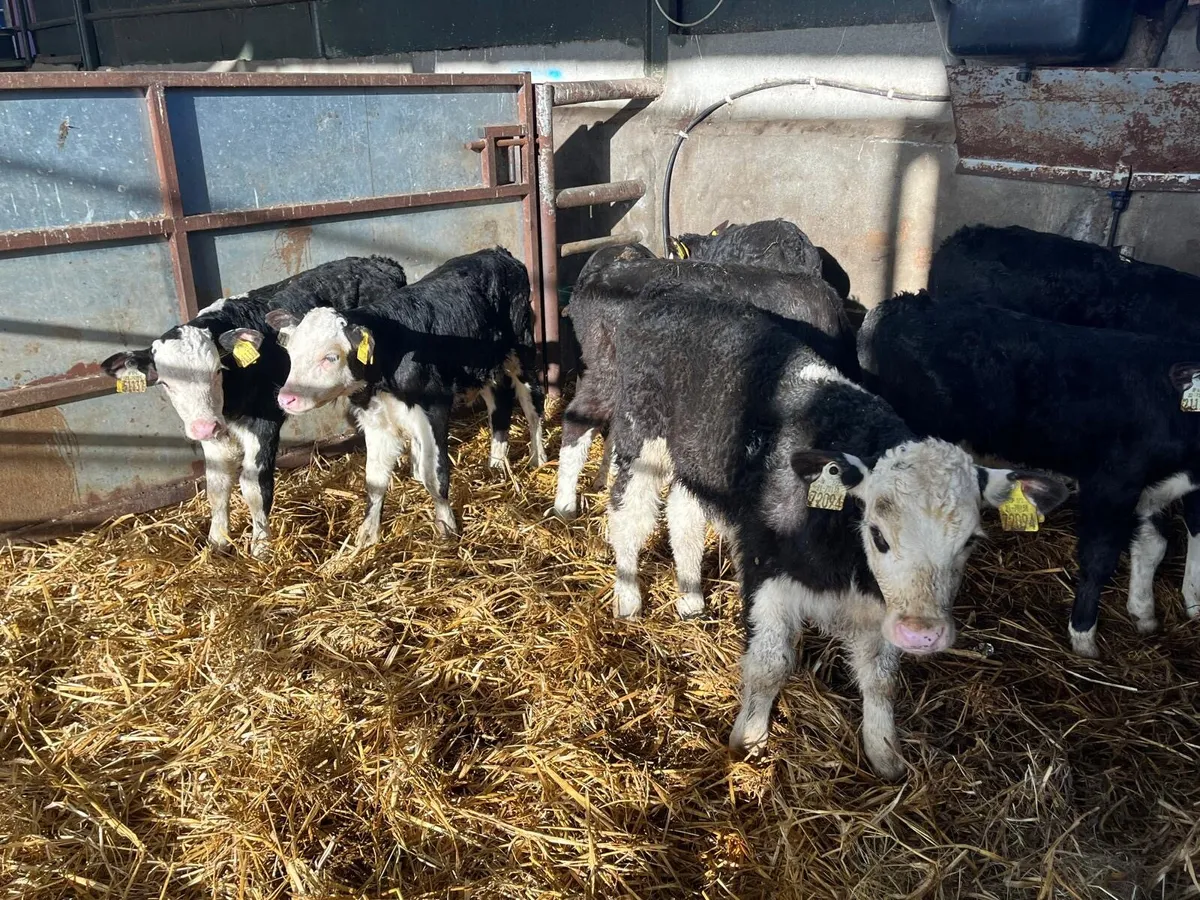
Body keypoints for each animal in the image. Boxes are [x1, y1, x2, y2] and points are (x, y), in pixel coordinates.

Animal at [100, 255, 408, 557]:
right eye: (165, 383)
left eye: (217, 371)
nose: (203, 427)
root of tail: (380, 261)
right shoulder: (215, 431)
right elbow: (216, 484)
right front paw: (217, 543)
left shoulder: (264, 422)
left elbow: (254, 487)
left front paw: (261, 547)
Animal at [260, 247, 544, 547]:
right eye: (291, 352)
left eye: (331, 357)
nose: (286, 398)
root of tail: (496, 251)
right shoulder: (375, 420)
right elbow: (374, 481)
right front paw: (368, 533)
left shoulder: (434, 410)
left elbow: (435, 475)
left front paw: (446, 526)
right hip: (486, 366)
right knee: (499, 404)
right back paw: (497, 464)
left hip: (522, 350)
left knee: (532, 403)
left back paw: (538, 458)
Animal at [603, 291, 1066, 776]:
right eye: (878, 535)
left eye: (970, 541)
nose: (922, 635)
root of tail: (670, 296)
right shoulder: (766, 571)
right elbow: (769, 664)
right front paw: (748, 742)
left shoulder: (879, 606)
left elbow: (881, 679)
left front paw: (884, 753)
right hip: (641, 436)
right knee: (628, 515)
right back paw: (628, 596)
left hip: (697, 463)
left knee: (684, 514)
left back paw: (691, 596)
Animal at [859, 290, 1200, 657]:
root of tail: (900, 303)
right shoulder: (1112, 483)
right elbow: (1099, 559)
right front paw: (1083, 637)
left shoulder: (1160, 489)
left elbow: (1156, 544)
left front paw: (1148, 610)